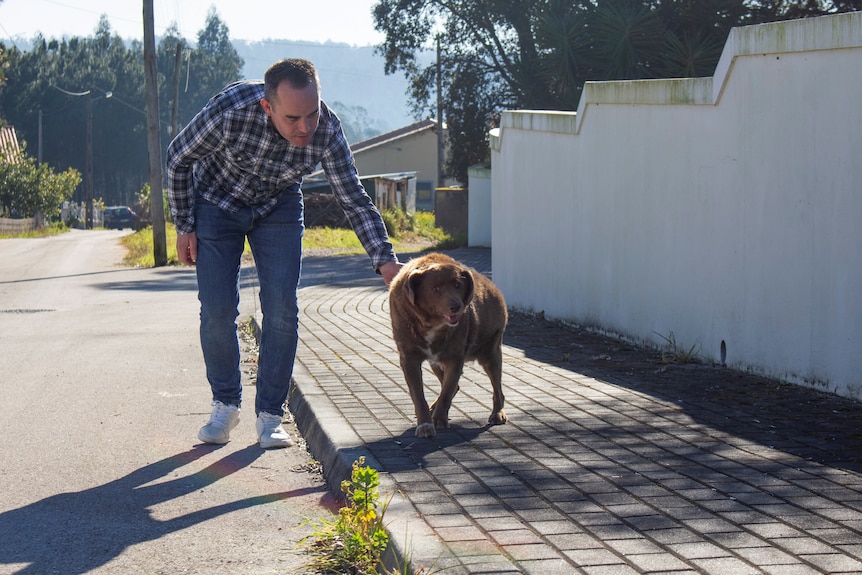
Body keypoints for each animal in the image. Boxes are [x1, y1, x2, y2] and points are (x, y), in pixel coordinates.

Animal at [390, 252, 510, 436]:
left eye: (458, 285)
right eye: (435, 289)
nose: (456, 306)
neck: (431, 323)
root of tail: (494, 287)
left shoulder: (454, 358)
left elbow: (447, 392)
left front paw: (439, 419)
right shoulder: (409, 358)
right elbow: (418, 394)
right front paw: (425, 423)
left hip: (491, 353)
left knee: (496, 388)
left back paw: (497, 413)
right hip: (436, 363)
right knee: (455, 386)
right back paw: (433, 407)